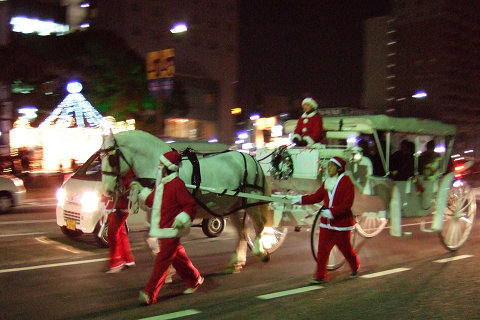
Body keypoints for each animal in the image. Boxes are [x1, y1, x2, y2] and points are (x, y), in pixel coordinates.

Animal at [100, 130, 274, 272]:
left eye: (112, 158)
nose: (107, 190)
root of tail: (251, 158)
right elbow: (149, 239)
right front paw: (168, 270)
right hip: (233, 206)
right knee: (242, 231)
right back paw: (236, 262)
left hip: (251, 201)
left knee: (259, 225)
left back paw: (261, 252)